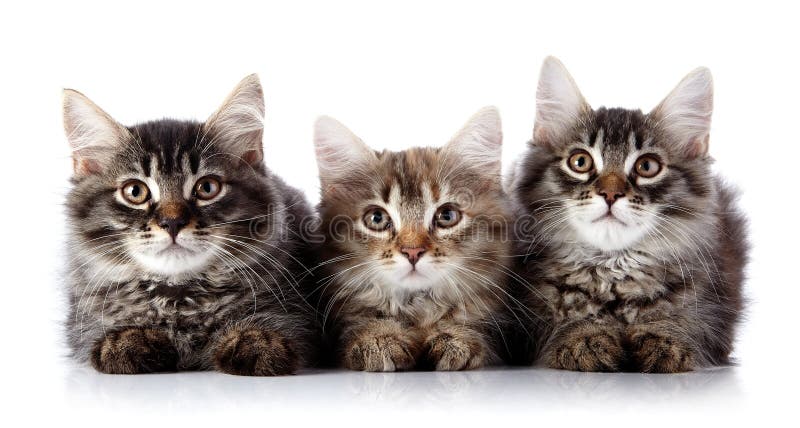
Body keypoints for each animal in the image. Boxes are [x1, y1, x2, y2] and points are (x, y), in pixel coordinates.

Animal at [63, 75, 318, 376]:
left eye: (207, 188)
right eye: (135, 192)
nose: (172, 222)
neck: (178, 298)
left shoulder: (290, 309)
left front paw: (257, 340)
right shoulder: (83, 323)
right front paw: (127, 339)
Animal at [312, 108, 512, 372]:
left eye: (447, 215)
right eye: (376, 218)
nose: (413, 251)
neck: (417, 306)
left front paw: (457, 337)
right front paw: (378, 337)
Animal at [510, 58, 748, 372]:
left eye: (647, 166)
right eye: (580, 161)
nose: (610, 194)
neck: (611, 268)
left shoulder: (710, 311)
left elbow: (679, 323)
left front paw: (665, 339)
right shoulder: (533, 316)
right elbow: (566, 321)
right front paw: (584, 337)